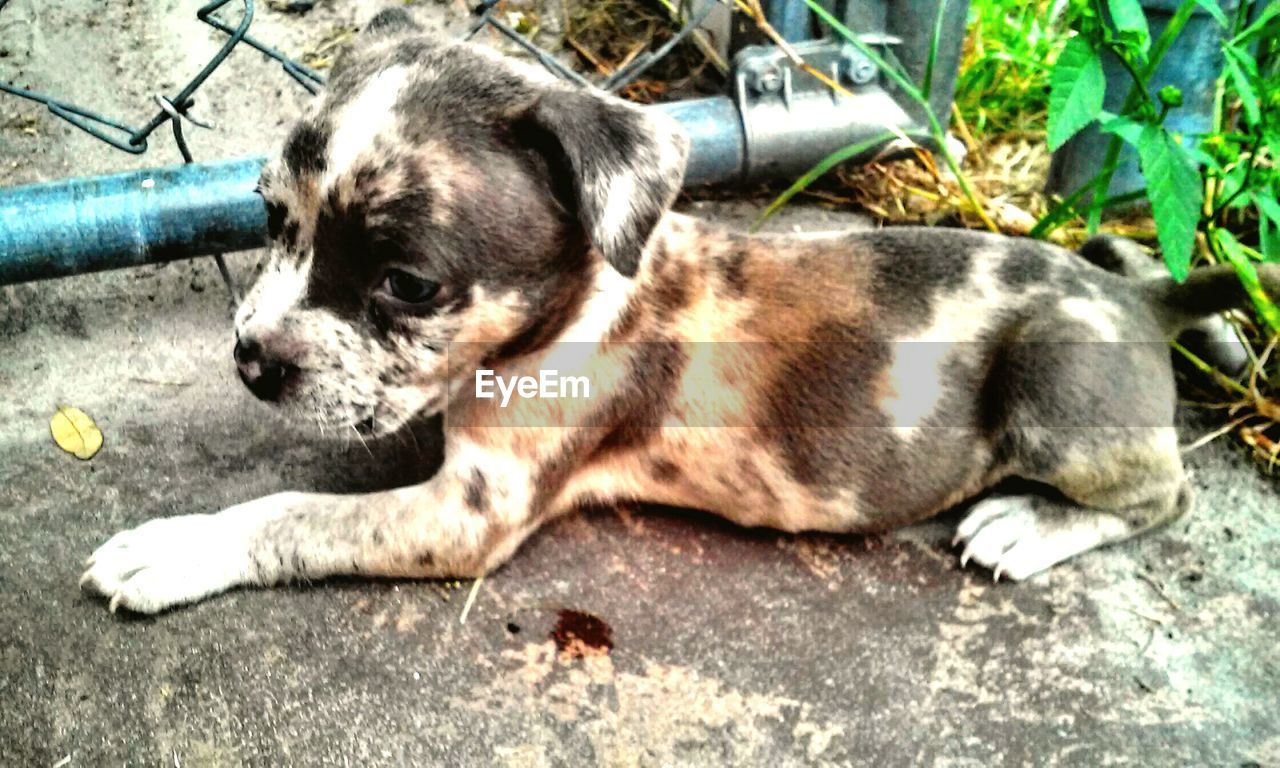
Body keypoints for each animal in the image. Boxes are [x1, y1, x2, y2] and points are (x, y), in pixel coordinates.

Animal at [82, 9, 1280, 611]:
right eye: (268, 214)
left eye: (407, 284)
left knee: (1162, 493)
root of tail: (1141, 294)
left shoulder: (469, 515)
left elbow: (293, 512)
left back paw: (1026, 527)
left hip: (1056, 386)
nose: (249, 360)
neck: (570, 305)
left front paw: (172, 551)